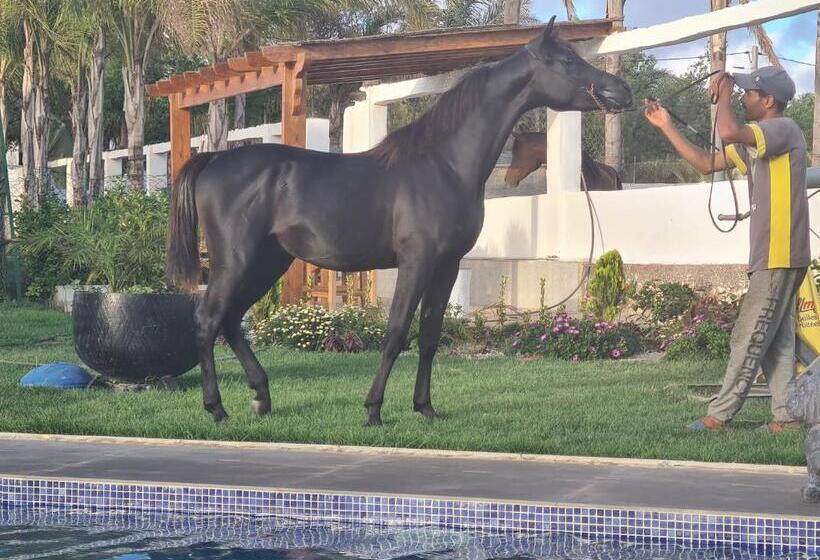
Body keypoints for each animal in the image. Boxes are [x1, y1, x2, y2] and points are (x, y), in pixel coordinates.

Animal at [166, 17, 632, 426]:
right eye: (565, 61)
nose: (622, 91)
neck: (443, 164)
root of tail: (214, 159)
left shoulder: (447, 265)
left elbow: (429, 336)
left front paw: (425, 408)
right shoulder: (415, 263)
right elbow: (395, 333)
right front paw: (373, 410)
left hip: (269, 262)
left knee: (231, 321)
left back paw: (261, 398)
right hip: (236, 261)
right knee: (208, 321)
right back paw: (217, 409)